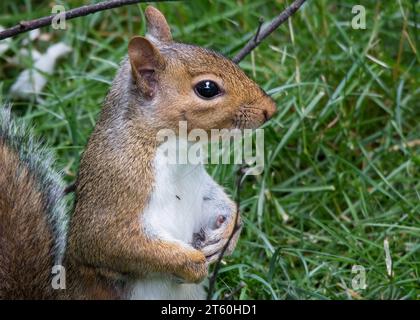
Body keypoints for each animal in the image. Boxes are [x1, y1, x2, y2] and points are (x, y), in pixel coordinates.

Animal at [0, 5, 276, 300]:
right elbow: (109, 242)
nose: (270, 109)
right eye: (207, 88)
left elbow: (218, 201)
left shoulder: (199, 184)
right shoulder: (117, 187)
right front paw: (193, 264)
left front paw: (228, 232)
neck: (178, 151)